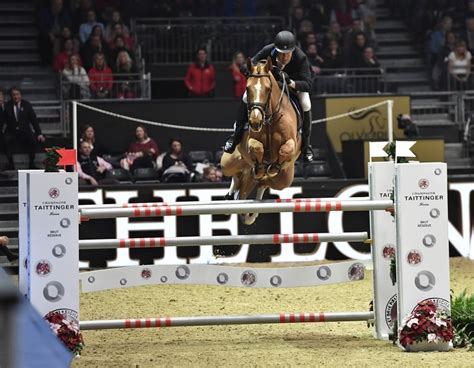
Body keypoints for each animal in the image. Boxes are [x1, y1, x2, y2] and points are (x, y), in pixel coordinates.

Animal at [221, 56, 302, 224]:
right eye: (247, 89)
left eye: (268, 88)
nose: (255, 122)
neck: (270, 119)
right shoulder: (251, 141)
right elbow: (256, 146)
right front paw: (261, 164)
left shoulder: (291, 142)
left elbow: (286, 149)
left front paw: (272, 166)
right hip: (228, 163)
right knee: (238, 177)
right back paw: (233, 195)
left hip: (284, 180)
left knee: (262, 183)